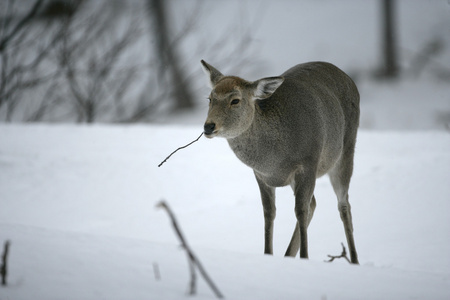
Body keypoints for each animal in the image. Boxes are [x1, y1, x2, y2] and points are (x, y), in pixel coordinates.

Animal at [202, 59, 360, 264]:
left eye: (235, 100)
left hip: (346, 148)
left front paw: (305, 258)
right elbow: (269, 213)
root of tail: (348, 78)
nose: (208, 126)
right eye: (210, 98)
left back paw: (355, 260)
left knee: (343, 204)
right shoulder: (261, 175)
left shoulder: (308, 163)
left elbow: (300, 210)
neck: (274, 160)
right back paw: (288, 255)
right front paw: (268, 254)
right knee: (315, 203)